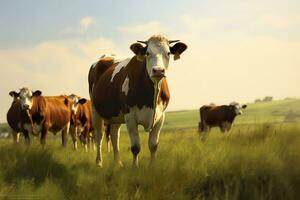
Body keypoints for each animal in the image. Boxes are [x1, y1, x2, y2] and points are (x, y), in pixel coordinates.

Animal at [89, 34, 188, 167]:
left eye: (168, 53)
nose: (158, 70)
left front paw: (152, 166)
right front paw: (135, 167)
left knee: (115, 135)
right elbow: (135, 147)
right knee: (99, 136)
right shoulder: (130, 116)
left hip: (116, 114)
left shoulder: (161, 117)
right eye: (147, 53)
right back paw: (99, 162)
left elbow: (153, 145)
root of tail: (107, 56)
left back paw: (118, 162)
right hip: (95, 110)